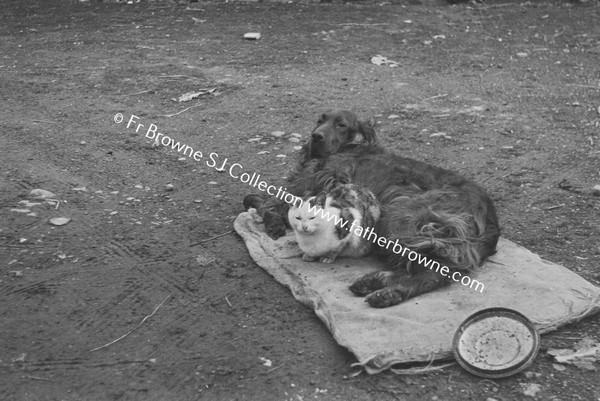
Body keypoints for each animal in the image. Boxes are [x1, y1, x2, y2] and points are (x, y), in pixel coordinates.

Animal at [245, 109, 502, 306]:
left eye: (341, 124)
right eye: (320, 120)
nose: (315, 136)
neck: (346, 147)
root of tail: (490, 216)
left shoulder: (320, 182)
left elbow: (273, 200)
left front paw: (272, 220)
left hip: (399, 218)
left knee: (435, 268)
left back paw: (386, 290)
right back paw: (378, 285)